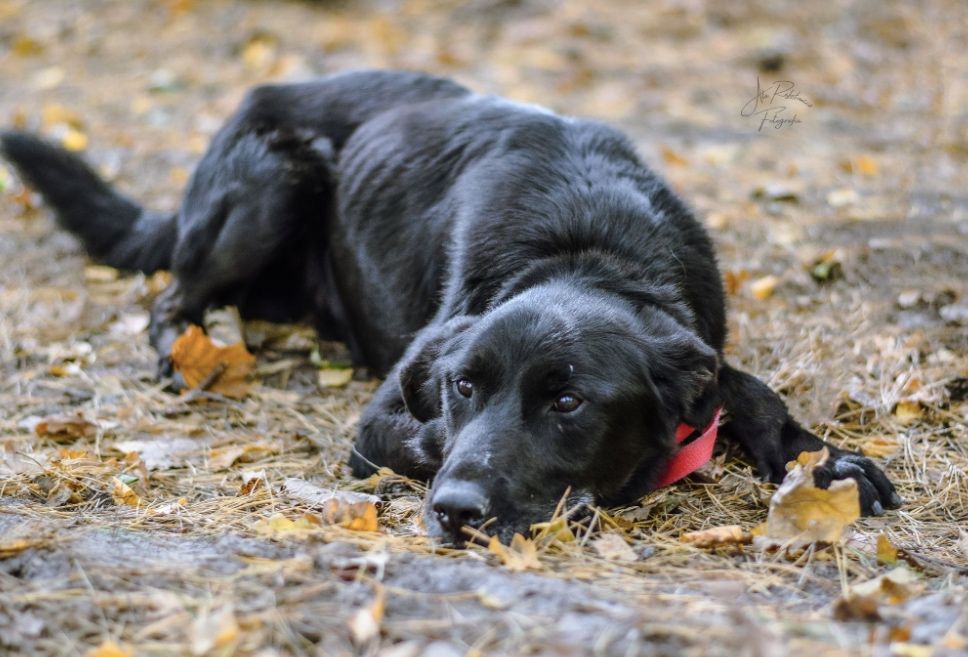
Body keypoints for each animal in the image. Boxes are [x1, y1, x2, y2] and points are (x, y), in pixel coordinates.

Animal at [1, 70, 900, 544]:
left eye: (568, 401)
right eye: (464, 385)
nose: (457, 513)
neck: (592, 246)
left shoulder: (698, 335)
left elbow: (747, 386)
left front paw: (824, 463)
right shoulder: (379, 421)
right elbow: (430, 436)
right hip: (269, 182)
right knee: (170, 299)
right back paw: (185, 352)